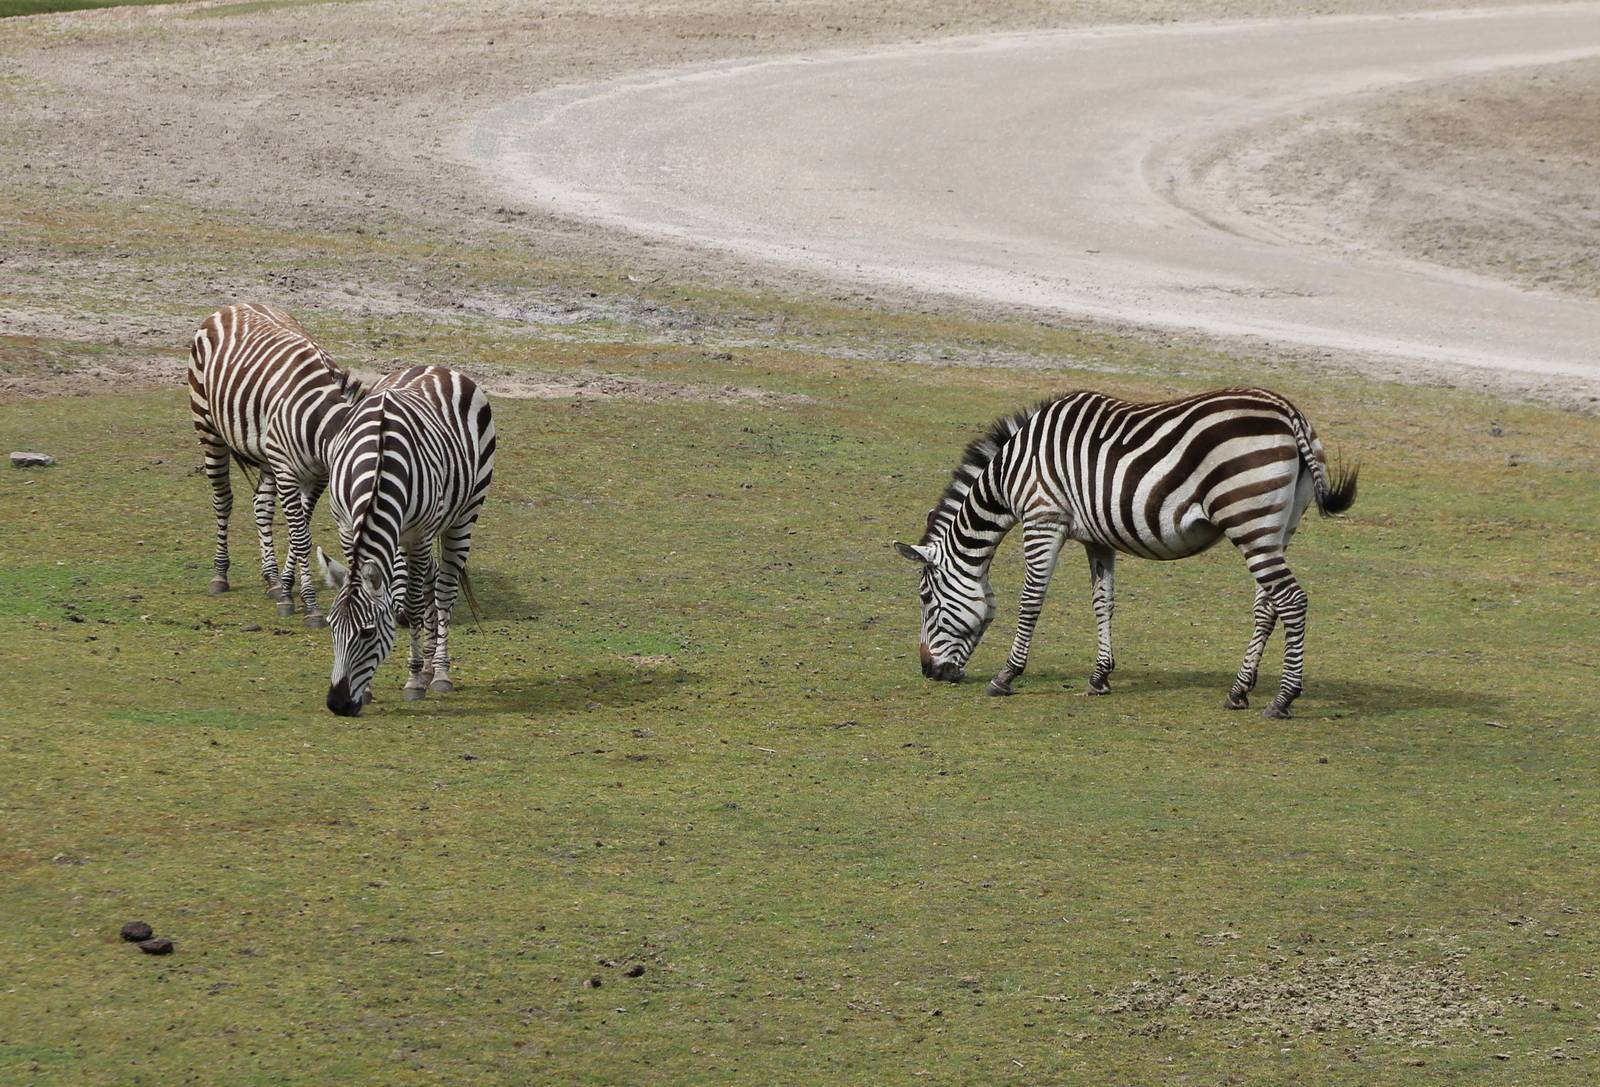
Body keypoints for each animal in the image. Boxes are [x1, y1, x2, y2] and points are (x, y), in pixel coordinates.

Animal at [188, 303, 363, 626]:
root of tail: (234, 305)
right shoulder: (288, 471)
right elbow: (301, 537)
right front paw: (310, 607)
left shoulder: (317, 476)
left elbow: (298, 532)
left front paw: (286, 588)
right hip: (208, 426)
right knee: (223, 500)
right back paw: (220, 575)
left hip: (267, 453)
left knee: (262, 506)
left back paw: (271, 579)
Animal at [316, 364, 495, 717]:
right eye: (331, 627)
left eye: (368, 633)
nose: (338, 704)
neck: (377, 466)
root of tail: (439, 368)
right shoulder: (346, 526)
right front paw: (370, 689)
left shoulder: (421, 534)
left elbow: (412, 605)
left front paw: (413, 681)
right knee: (429, 579)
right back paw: (427, 666)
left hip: (464, 516)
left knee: (443, 590)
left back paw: (437, 671)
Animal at [894, 387, 1357, 718]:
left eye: (926, 600)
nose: (928, 672)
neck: (1010, 472)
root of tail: (1289, 411)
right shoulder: (1097, 538)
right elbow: (1103, 602)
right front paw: (1100, 676)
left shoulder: (1044, 519)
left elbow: (1030, 601)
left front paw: (1006, 676)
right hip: (1276, 527)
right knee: (1268, 605)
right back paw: (1239, 690)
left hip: (1248, 521)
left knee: (1292, 600)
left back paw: (1283, 699)